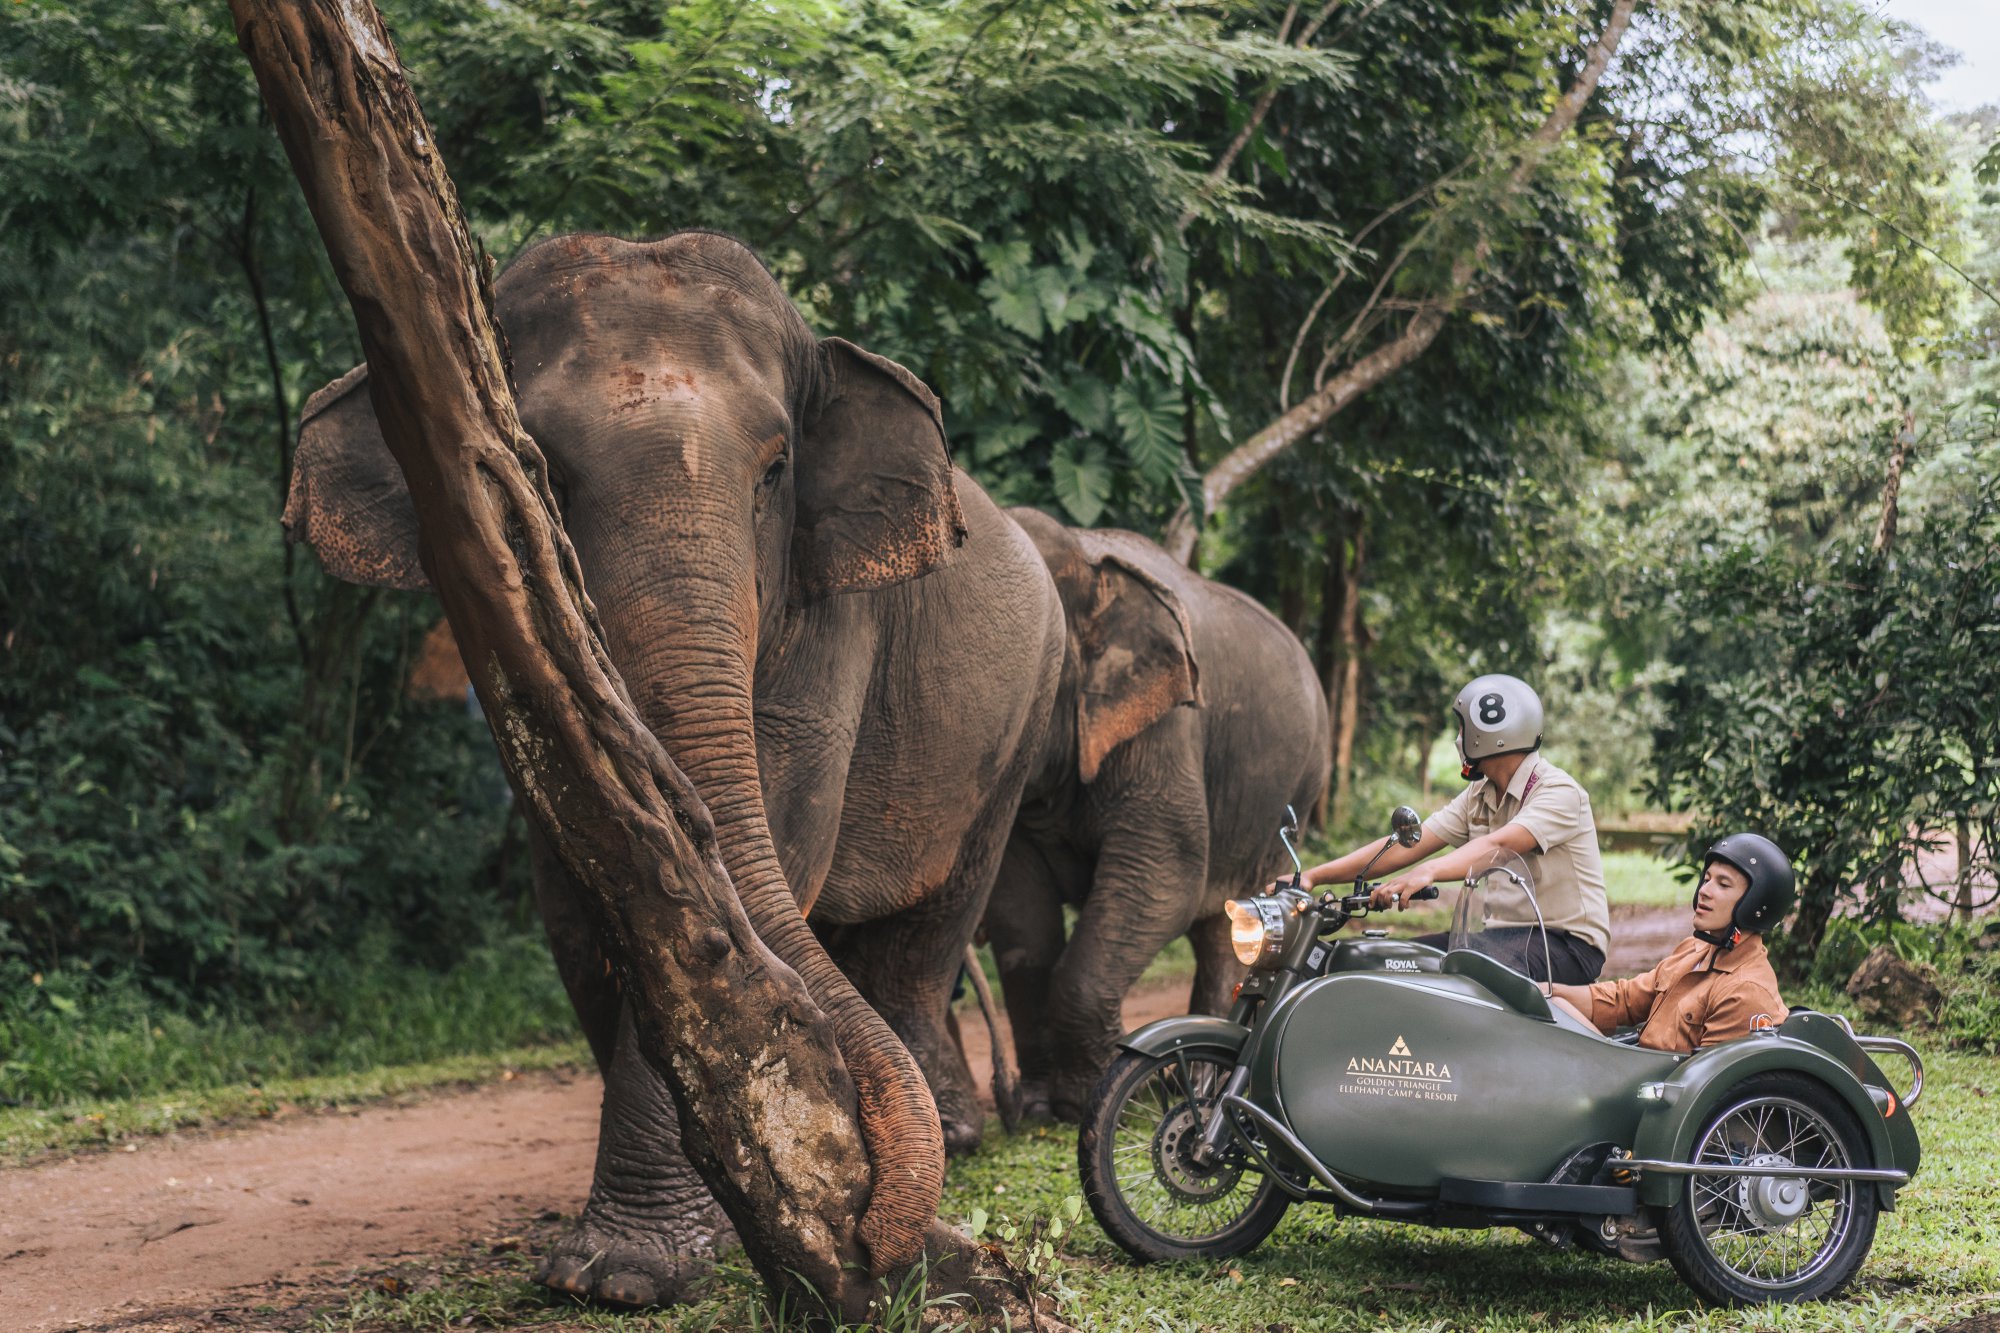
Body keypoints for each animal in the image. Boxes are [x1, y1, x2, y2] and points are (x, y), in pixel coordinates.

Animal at [284, 228, 1072, 1296]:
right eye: (538, 470)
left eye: (775, 471)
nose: (872, 1245)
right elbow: (581, 885)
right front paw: (664, 1234)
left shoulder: (829, 620)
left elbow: (759, 845)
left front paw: (630, 1268)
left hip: (1023, 721)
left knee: (928, 932)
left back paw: (947, 1135)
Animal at [984, 508, 1328, 1120]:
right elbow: (1020, 909)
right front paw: (1040, 1108)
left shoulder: (1167, 729)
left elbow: (1164, 878)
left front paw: (1082, 1097)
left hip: (1296, 784)